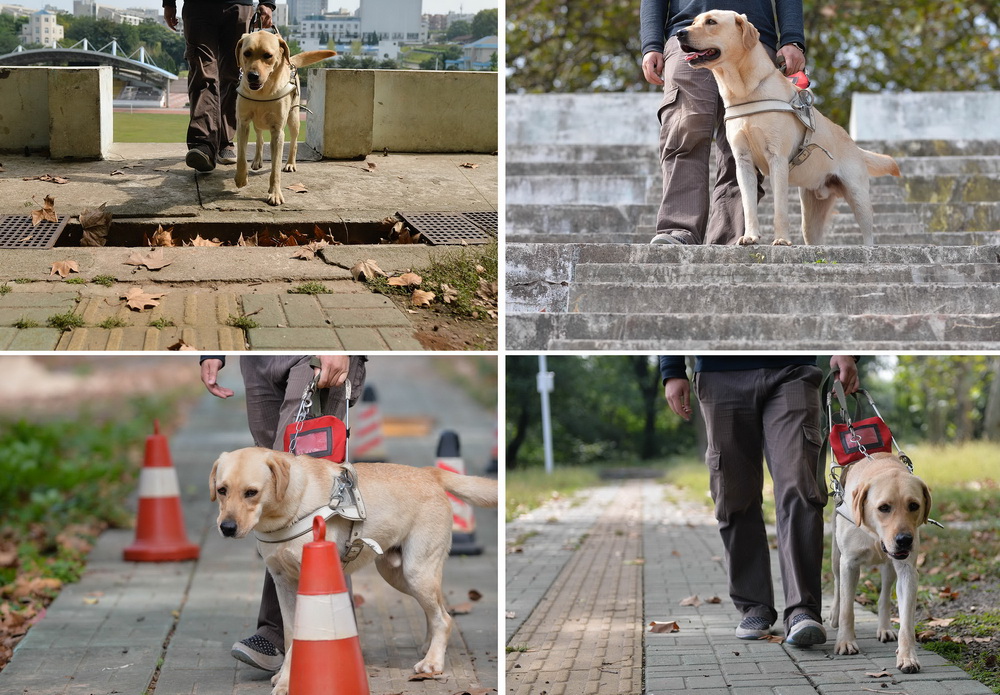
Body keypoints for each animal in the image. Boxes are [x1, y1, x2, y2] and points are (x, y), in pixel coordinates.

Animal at [209, 448, 498, 692]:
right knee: (438, 612)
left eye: (251, 492)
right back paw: (430, 647)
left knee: (444, 618)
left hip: (417, 572)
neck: (293, 507)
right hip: (398, 575)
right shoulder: (282, 582)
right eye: (222, 490)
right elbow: (291, 637)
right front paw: (286, 676)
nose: (227, 527)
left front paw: (288, 683)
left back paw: (433, 662)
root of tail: (429, 473)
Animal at [232, 31, 334, 205]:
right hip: (258, 123)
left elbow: (275, 168)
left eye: (268, 55)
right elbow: (241, 156)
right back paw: (257, 160)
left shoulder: (277, 131)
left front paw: (275, 193)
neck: (262, 93)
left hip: (293, 119)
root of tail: (290, 61)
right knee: (259, 138)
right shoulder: (243, 122)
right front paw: (240, 178)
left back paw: (290, 163)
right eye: (246, 53)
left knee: (293, 143)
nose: (252, 76)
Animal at [680, 10, 900, 247]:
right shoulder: (743, 162)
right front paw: (750, 236)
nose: (679, 33)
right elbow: (748, 206)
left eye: (711, 22)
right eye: (693, 21)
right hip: (811, 216)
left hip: (858, 195)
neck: (745, 91)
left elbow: (780, 208)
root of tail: (853, 144)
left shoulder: (777, 158)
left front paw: (782, 239)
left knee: (868, 232)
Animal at [828, 452, 928, 676]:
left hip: (889, 568)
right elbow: (848, 608)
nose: (904, 540)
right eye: (884, 508)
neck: (874, 535)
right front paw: (845, 642)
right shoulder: (849, 564)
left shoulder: (907, 571)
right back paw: (834, 615)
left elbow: (906, 622)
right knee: (837, 586)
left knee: (884, 597)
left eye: (914, 505)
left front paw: (907, 657)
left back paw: (885, 628)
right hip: (836, 556)